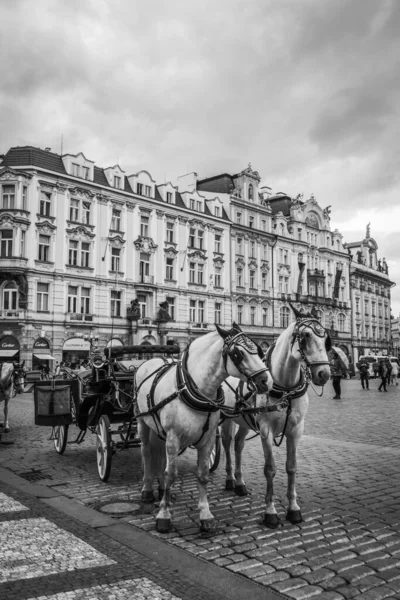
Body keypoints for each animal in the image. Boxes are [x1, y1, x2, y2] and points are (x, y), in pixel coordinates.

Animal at [136, 326, 274, 532]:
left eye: (259, 351)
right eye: (237, 354)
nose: (267, 381)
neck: (194, 389)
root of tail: (151, 359)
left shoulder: (207, 439)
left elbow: (202, 475)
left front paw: (205, 515)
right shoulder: (173, 438)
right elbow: (171, 474)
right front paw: (164, 515)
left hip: (159, 430)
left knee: (159, 454)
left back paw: (160, 490)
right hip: (143, 423)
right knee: (146, 453)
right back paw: (147, 490)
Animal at [220, 308, 330, 528]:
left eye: (325, 338)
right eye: (305, 336)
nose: (324, 374)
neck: (285, 388)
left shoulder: (296, 431)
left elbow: (291, 468)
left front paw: (293, 509)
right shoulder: (265, 430)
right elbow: (270, 469)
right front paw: (270, 512)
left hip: (245, 422)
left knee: (238, 445)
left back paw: (240, 483)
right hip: (227, 418)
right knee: (227, 444)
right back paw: (230, 479)